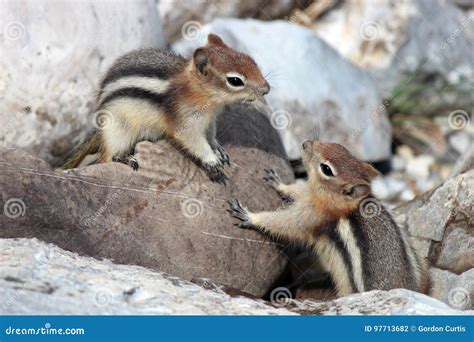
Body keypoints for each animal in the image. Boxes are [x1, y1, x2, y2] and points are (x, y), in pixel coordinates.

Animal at [62, 34, 268, 183]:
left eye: (252, 60)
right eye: (235, 81)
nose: (267, 89)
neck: (199, 93)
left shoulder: (209, 120)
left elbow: (210, 134)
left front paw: (218, 148)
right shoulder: (185, 119)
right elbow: (192, 140)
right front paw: (211, 160)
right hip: (118, 130)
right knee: (107, 157)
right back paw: (124, 158)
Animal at [227, 139, 430, 296]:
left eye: (326, 169)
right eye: (340, 146)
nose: (305, 143)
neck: (343, 206)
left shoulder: (313, 216)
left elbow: (285, 223)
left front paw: (249, 215)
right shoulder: (310, 196)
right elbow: (299, 190)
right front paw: (279, 183)